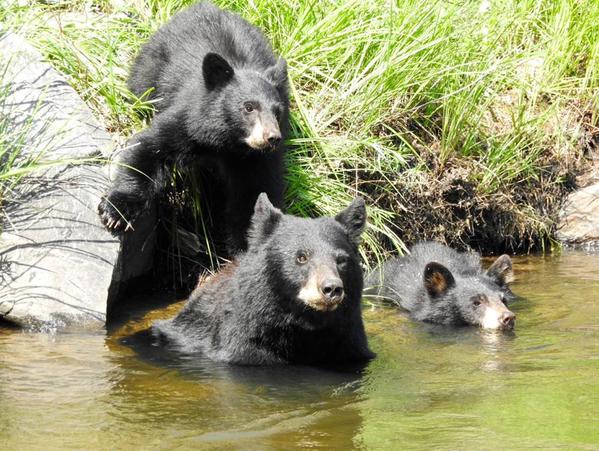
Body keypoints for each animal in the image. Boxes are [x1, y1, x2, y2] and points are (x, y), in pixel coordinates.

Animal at [99, 0, 290, 256]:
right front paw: (115, 212)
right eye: (249, 107)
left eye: (277, 112)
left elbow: (254, 196)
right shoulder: (188, 119)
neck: (227, 144)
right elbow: (149, 148)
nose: (272, 138)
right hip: (150, 70)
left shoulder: (257, 160)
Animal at [155, 194, 378, 368]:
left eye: (341, 260)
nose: (331, 288)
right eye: (301, 257)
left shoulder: (348, 342)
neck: (304, 325)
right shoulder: (244, 344)